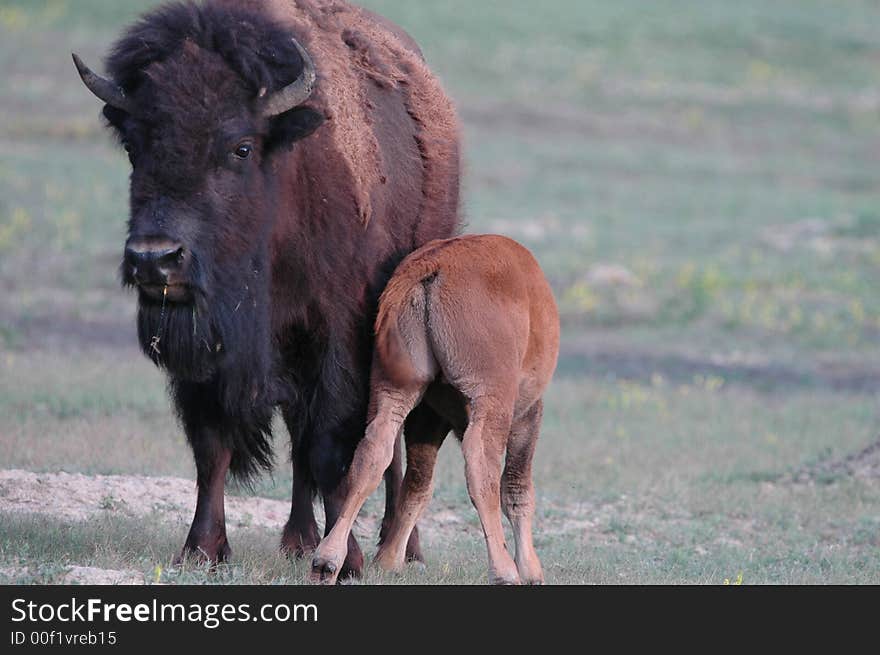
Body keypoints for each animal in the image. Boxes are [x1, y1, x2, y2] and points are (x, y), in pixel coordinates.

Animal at [74, 0, 460, 580]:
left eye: (240, 146)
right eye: (135, 144)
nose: (154, 259)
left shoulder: (339, 336)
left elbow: (334, 447)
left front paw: (345, 560)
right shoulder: (214, 353)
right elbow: (213, 446)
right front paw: (202, 550)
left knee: (388, 439)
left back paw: (402, 550)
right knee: (303, 439)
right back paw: (298, 540)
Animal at [310, 234, 556, 584]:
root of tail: (432, 268)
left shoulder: (428, 416)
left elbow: (417, 484)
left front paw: (389, 560)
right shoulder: (527, 413)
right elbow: (516, 487)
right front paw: (532, 570)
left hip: (395, 390)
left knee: (373, 454)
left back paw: (328, 561)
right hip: (491, 402)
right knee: (481, 468)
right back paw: (504, 571)